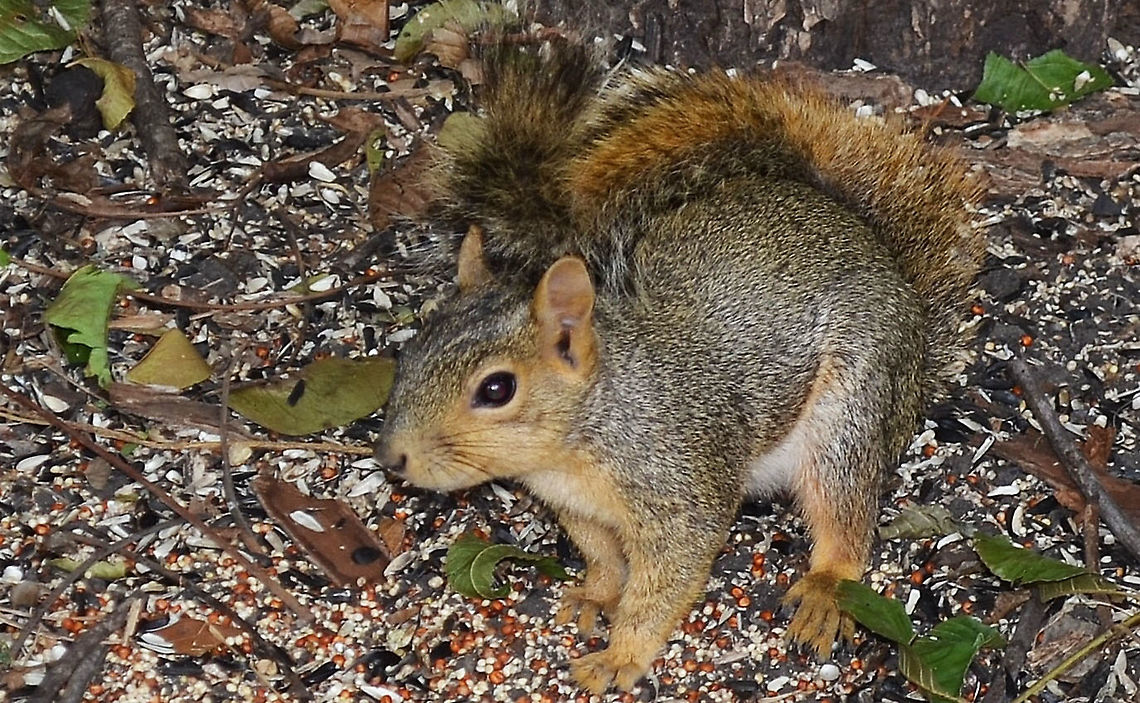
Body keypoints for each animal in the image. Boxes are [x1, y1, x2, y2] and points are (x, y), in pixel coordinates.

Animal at [375, 39, 983, 694]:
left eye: (496, 388)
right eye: (410, 351)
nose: (391, 458)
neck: (579, 443)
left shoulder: (679, 492)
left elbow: (663, 585)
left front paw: (620, 657)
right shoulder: (581, 512)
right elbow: (604, 559)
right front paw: (595, 595)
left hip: (851, 413)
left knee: (845, 520)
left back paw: (824, 591)